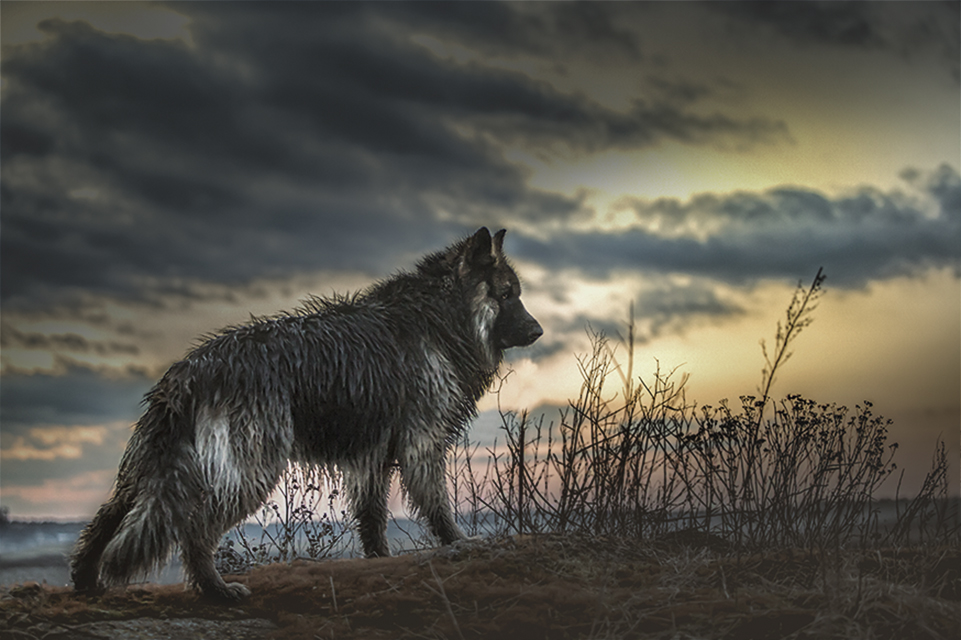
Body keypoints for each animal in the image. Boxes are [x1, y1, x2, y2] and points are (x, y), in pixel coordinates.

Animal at [69, 228, 540, 604]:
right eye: (506, 295)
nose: (538, 331)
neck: (442, 316)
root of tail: (192, 371)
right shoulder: (421, 443)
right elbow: (437, 504)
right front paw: (458, 541)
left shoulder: (370, 456)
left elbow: (372, 518)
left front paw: (379, 560)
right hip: (249, 471)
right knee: (196, 530)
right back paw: (215, 591)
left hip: (149, 469)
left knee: (106, 518)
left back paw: (87, 581)